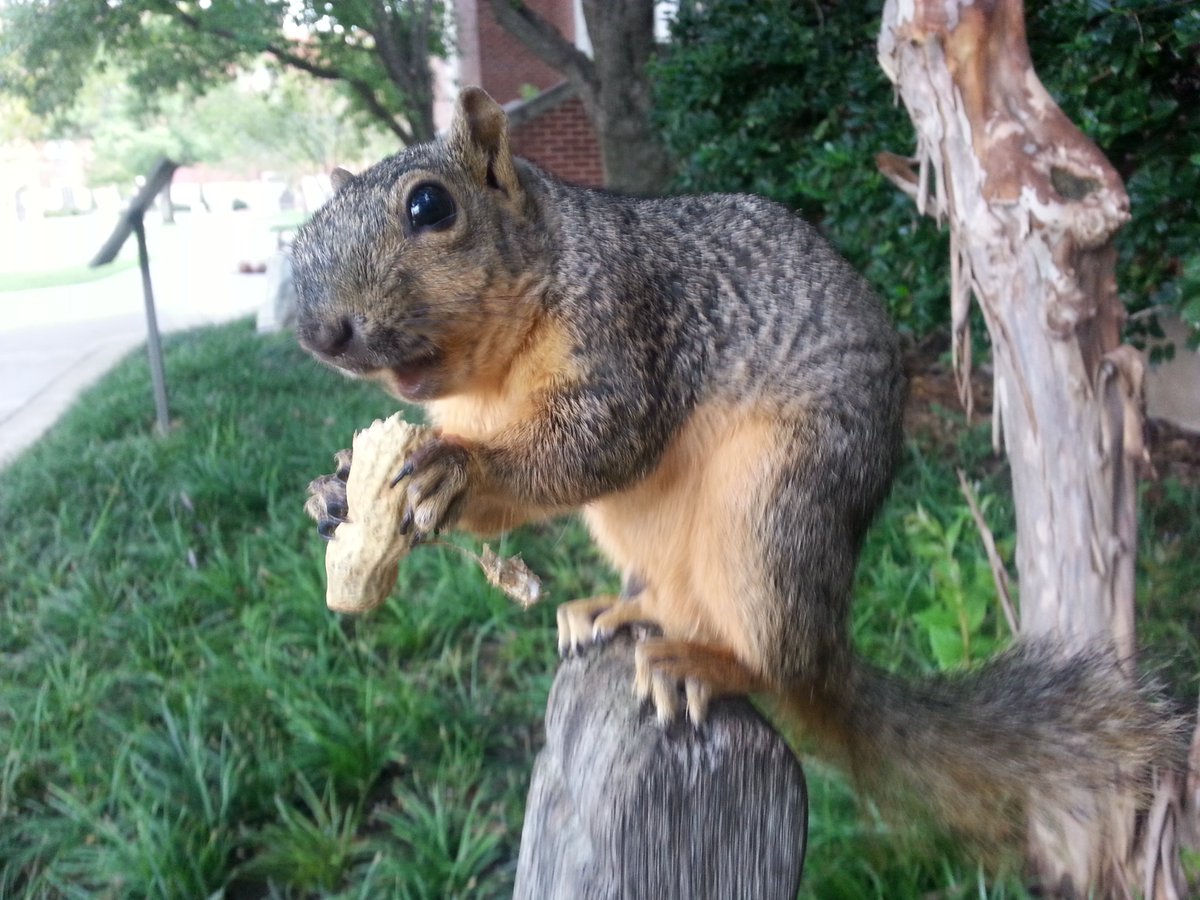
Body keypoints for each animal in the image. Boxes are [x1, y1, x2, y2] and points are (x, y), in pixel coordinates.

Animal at [293, 87, 1184, 851]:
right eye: (306, 229)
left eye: (430, 206)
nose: (318, 334)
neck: (488, 379)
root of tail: (827, 645)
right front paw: (335, 490)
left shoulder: (628, 325)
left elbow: (596, 443)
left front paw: (455, 472)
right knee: (674, 602)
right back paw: (621, 612)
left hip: (775, 504)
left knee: (771, 664)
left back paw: (710, 664)